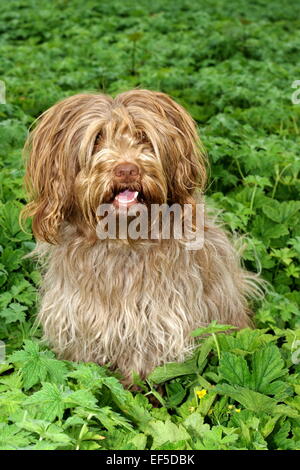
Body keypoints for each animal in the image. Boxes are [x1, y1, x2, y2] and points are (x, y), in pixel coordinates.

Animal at [21, 88, 260, 386]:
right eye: (97, 138)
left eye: (143, 137)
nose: (127, 169)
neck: (122, 240)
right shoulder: (77, 318)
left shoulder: (156, 322)